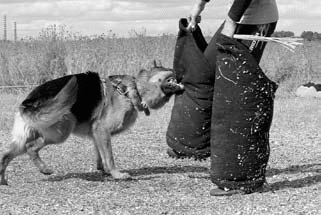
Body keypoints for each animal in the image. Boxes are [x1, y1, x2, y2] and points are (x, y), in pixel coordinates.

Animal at [0, 61, 182, 185]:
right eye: (169, 69)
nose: (180, 70)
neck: (132, 91)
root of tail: (29, 100)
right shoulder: (102, 130)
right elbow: (109, 156)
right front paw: (117, 174)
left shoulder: (97, 133)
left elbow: (100, 154)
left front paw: (103, 170)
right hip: (62, 130)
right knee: (31, 147)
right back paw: (44, 169)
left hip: (27, 136)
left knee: (6, 155)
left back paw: (3, 181)